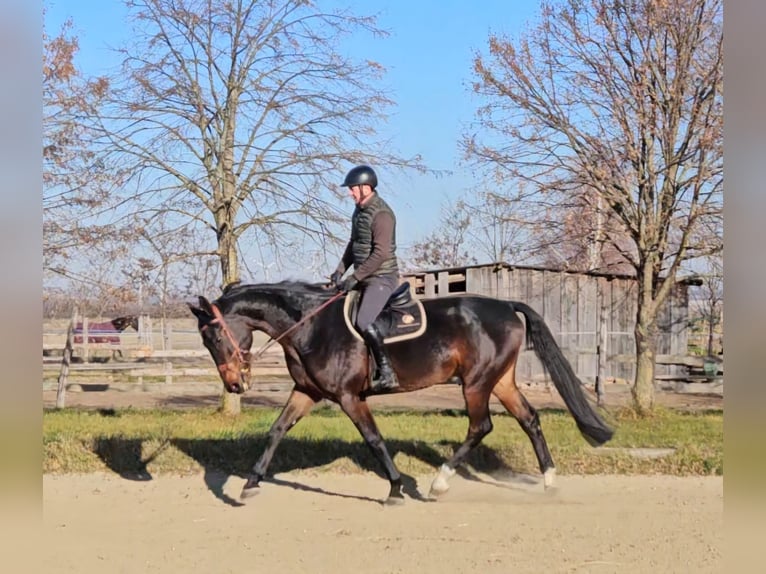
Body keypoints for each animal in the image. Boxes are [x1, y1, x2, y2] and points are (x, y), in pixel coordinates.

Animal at [189, 282, 616, 504]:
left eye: (214, 337)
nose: (234, 385)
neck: (311, 327)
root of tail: (506, 306)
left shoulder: (350, 397)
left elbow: (374, 439)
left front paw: (395, 487)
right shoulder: (306, 391)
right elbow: (277, 431)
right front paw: (250, 483)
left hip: (477, 383)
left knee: (480, 427)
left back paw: (439, 483)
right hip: (501, 380)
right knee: (529, 419)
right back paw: (549, 481)